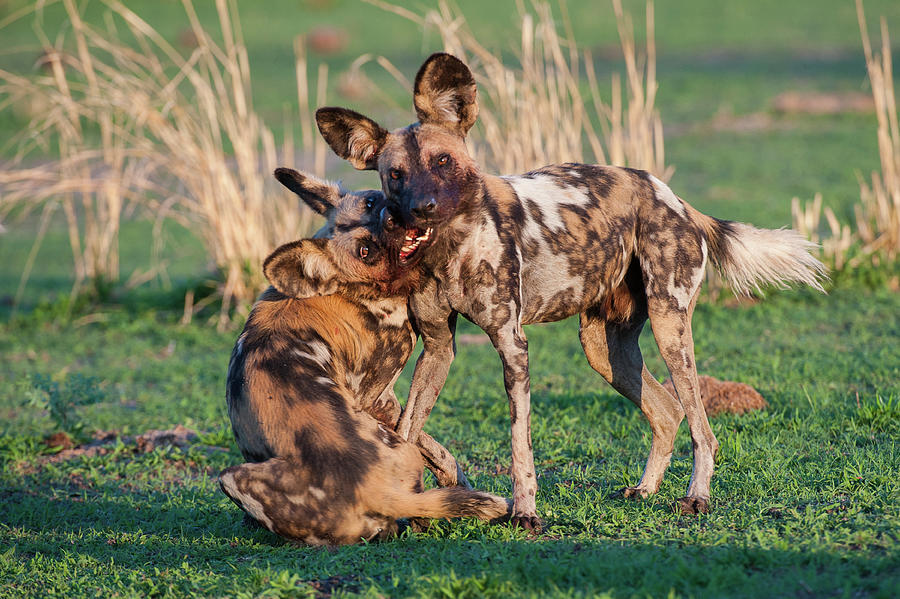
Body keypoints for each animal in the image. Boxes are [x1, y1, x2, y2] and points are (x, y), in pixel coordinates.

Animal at [219, 166, 510, 548]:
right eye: (365, 251)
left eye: (372, 202)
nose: (392, 218)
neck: (351, 290)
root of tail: (380, 494)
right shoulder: (376, 395)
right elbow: (426, 440)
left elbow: (429, 445)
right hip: (229, 477)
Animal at [312, 52, 828, 528]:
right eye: (395, 174)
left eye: (442, 161)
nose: (423, 208)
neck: (449, 247)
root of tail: (674, 198)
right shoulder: (438, 349)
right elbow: (406, 430)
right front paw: (415, 504)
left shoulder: (512, 346)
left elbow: (519, 444)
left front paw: (525, 512)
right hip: (604, 349)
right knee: (666, 412)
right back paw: (644, 490)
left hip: (670, 328)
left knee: (703, 428)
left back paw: (695, 497)